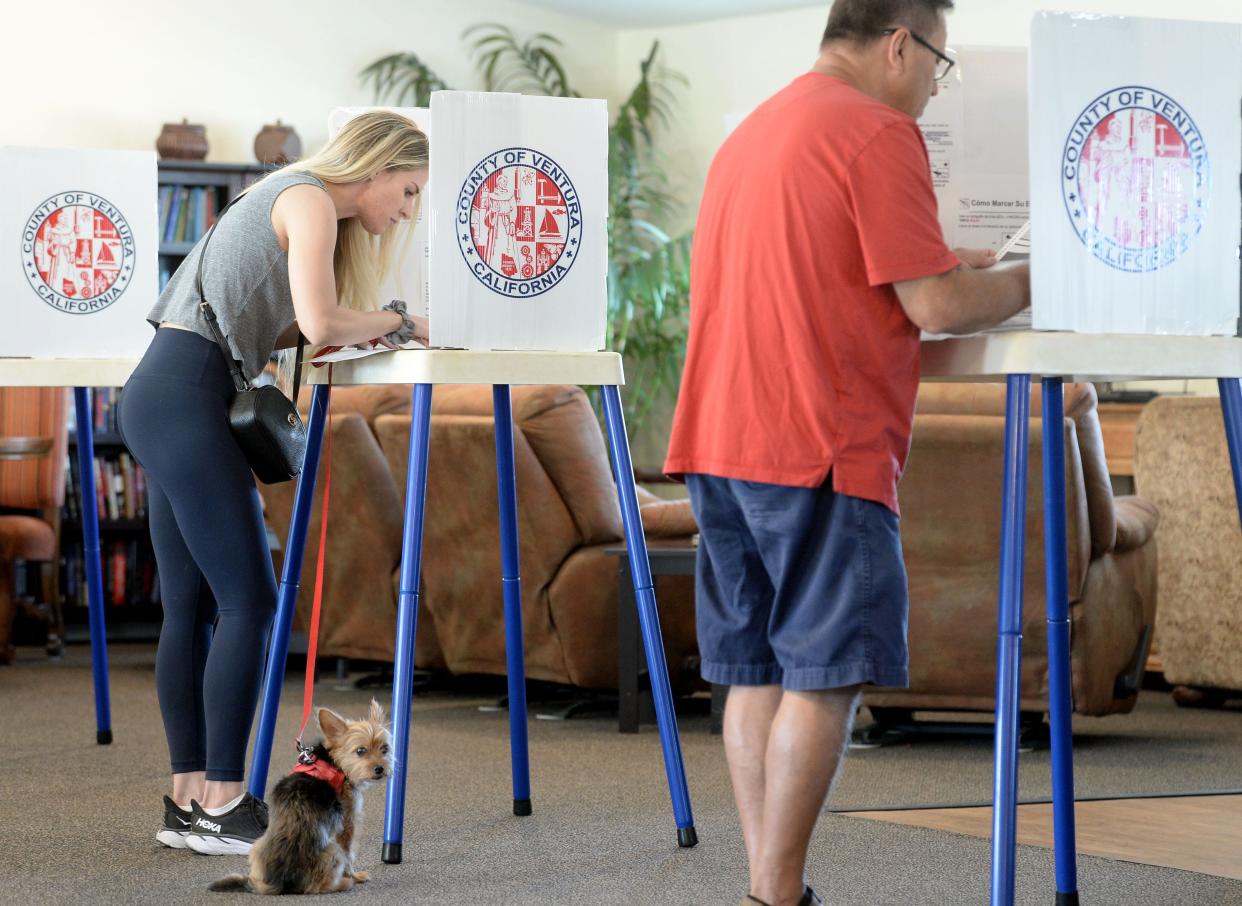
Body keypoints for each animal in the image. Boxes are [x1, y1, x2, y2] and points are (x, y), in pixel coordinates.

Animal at [208, 700, 392, 889]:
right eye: (360, 751)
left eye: (385, 749)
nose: (380, 769)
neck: (335, 761)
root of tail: (281, 880)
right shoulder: (347, 822)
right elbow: (349, 854)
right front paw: (355, 876)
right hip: (333, 851)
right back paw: (342, 883)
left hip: (257, 846)